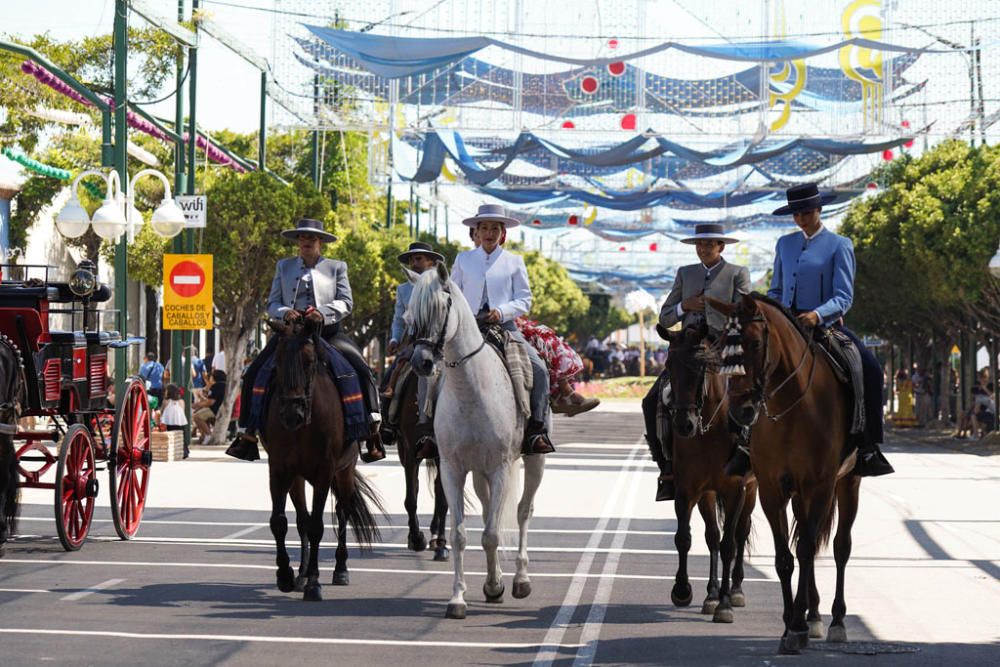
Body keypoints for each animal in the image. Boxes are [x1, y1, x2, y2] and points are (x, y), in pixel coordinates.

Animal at [262, 316, 382, 604]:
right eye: (277, 361)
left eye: (309, 360)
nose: (292, 414)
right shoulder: (279, 469)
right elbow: (280, 522)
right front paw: (286, 575)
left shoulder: (325, 471)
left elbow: (317, 525)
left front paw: (314, 583)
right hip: (297, 477)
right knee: (302, 519)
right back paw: (302, 574)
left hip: (345, 470)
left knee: (342, 512)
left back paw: (340, 569)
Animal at [394, 366, 450, 564]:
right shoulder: (410, 453)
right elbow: (411, 498)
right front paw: (416, 538)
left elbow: (443, 501)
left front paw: (442, 545)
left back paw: (435, 537)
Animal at [406, 262, 548, 620]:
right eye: (410, 313)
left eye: (442, 308)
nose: (421, 363)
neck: (471, 391)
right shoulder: (452, 469)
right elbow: (460, 534)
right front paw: (459, 597)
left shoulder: (499, 467)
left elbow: (493, 533)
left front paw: (500, 585)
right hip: (479, 473)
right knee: (487, 513)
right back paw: (493, 583)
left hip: (533, 462)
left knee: (523, 511)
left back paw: (520, 579)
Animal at [664, 324, 756, 628]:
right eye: (669, 366)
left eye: (700, 369)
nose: (685, 424)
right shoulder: (688, 489)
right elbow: (686, 537)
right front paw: (683, 590)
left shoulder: (736, 490)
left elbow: (729, 544)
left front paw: (725, 605)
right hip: (708, 494)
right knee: (713, 535)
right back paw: (712, 594)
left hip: (752, 489)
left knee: (740, 532)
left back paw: (735, 590)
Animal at [708, 294, 864, 656]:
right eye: (722, 343)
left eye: (754, 343)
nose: (740, 411)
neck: (793, 406)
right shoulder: (772, 489)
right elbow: (785, 558)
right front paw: (791, 625)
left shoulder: (820, 485)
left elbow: (806, 550)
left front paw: (796, 626)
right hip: (799, 494)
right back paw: (813, 614)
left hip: (847, 482)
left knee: (839, 546)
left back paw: (834, 621)